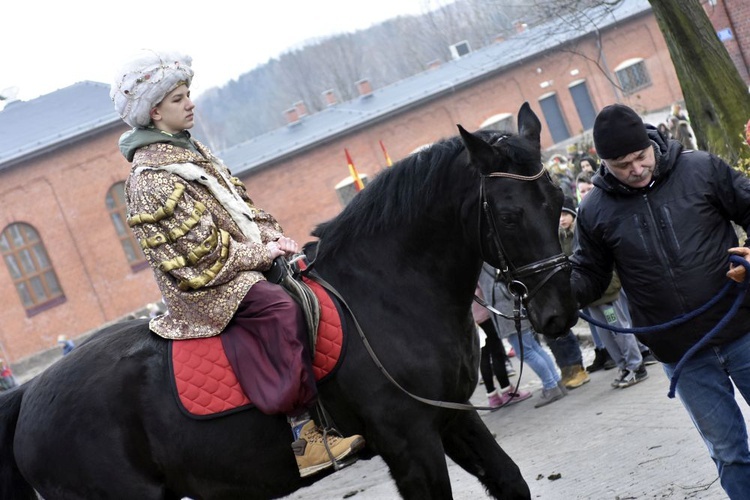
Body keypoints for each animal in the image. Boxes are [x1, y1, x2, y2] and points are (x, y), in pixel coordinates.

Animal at [0, 102, 580, 500]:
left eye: (557, 199)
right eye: (508, 215)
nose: (560, 311)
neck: (386, 293)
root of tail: (27, 395)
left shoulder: (453, 418)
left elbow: (510, 481)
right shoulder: (410, 441)